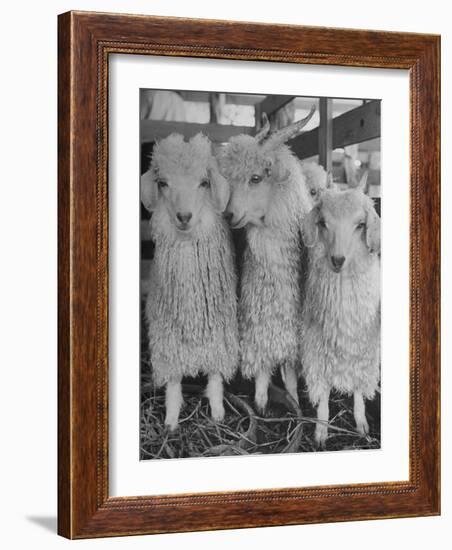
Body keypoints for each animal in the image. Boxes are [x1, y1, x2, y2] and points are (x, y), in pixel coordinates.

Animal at [141, 133, 240, 432]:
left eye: (204, 182)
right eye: (163, 183)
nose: (184, 217)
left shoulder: (220, 333)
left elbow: (216, 376)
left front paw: (218, 413)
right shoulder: (167, 338)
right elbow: (173, 382)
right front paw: (171, 420)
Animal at [218, 108, 316, 412]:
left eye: (256, 178)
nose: (228, 215)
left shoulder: (292, 329)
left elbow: (291, 371)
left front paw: (295, 402)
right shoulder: (257, 319)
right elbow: (262, 364)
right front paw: (261, 401)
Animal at [300, 185, 382, 448]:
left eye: (360, 224)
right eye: (323, 222)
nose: (337, 260)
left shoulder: (363, 350)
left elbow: (358, 388)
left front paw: (361, 424)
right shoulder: (317, 351)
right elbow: (324, 392)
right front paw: (321, 430)